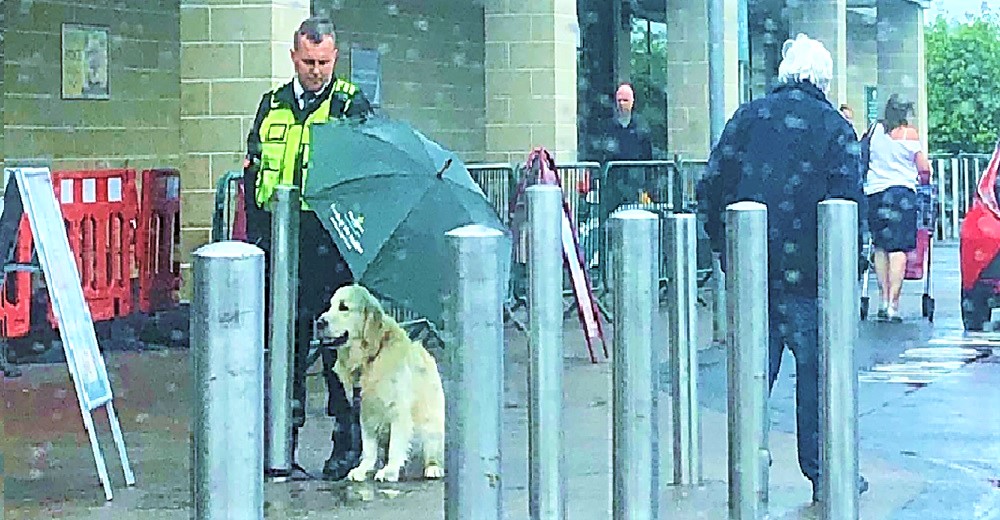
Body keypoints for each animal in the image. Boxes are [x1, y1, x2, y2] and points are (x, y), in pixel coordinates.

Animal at [316, 284, 446, 484]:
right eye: (330, 306)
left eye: (344, 307)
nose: (319, 322)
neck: (370, 357)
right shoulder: (364, 411)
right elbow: (369, 447)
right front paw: (363, 469)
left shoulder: (398, 410)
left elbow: (395, 445)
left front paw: (389, 471)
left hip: (430, 423)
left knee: (432, 449)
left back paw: (432, 468)